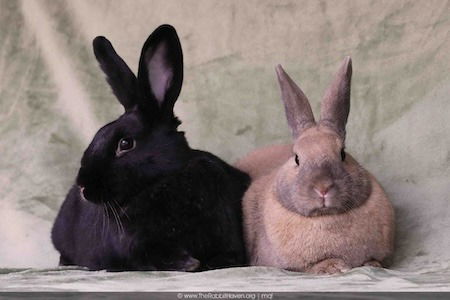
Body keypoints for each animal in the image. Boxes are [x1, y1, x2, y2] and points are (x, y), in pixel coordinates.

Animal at [52, 24, 251, 270]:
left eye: (125, 144)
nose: (82, 185)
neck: (162, 182)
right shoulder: (137, 249)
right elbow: (155, 257)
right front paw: (188, 262)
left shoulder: (229, 237)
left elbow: (228, 257)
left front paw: (200, 263)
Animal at [239, 56, 394, 274]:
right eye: (297, 158)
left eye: (342, 153)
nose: (323, 188)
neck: (325, 218)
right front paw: (334, 266)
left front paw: (372, 265)